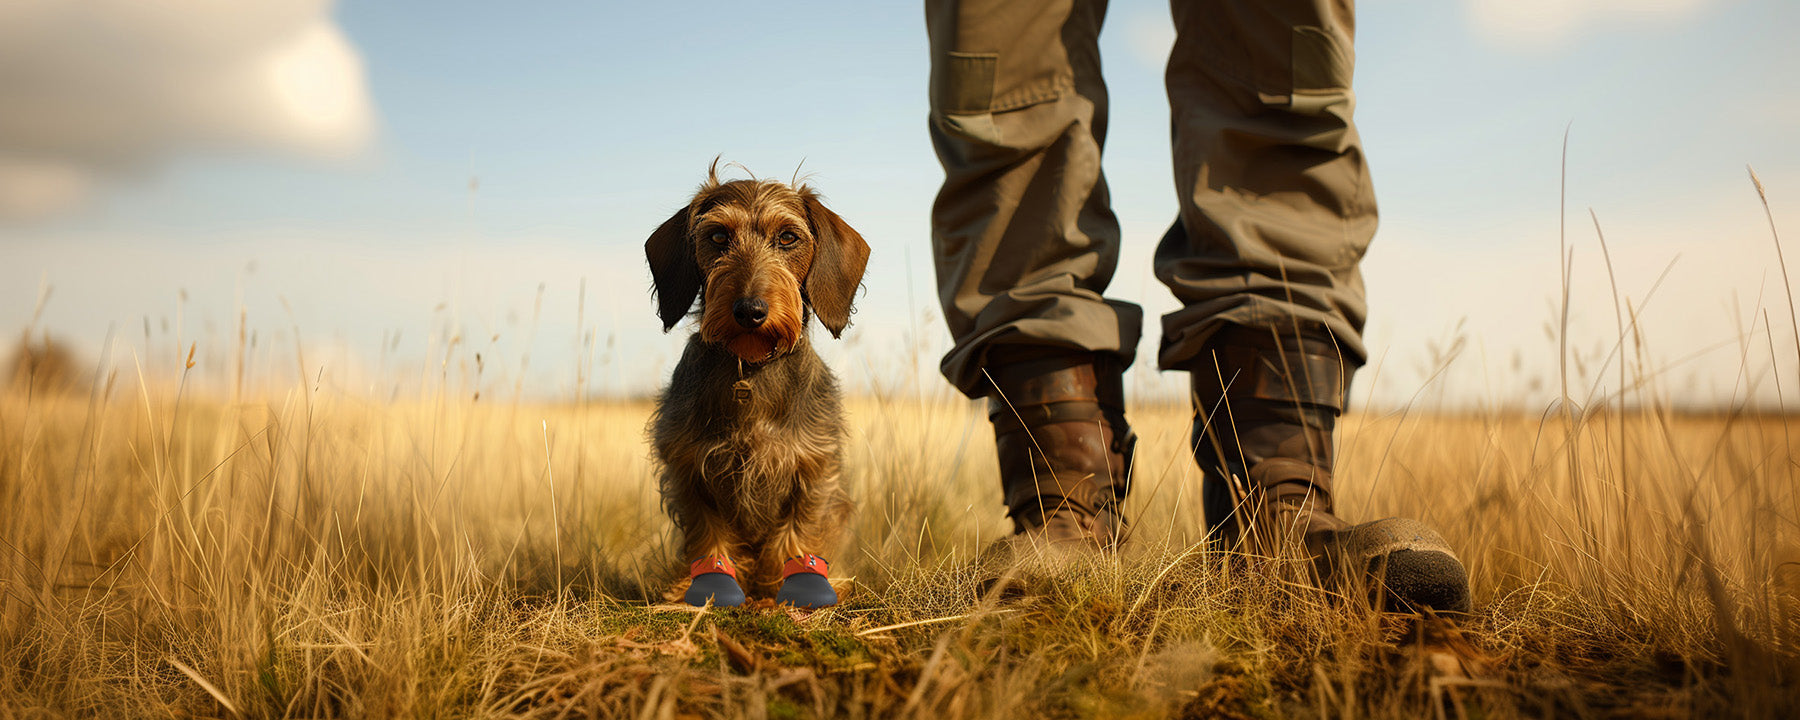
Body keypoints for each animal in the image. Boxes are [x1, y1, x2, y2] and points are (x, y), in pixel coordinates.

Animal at [648, 164, 871, 608]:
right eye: (718, 237)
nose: (750, 310)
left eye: (787, 237)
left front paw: (788, 587)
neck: (750, 369)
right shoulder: (687, 466)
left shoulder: (813, 468)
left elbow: (798, 532)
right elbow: (707, 531)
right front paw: (702, 585)